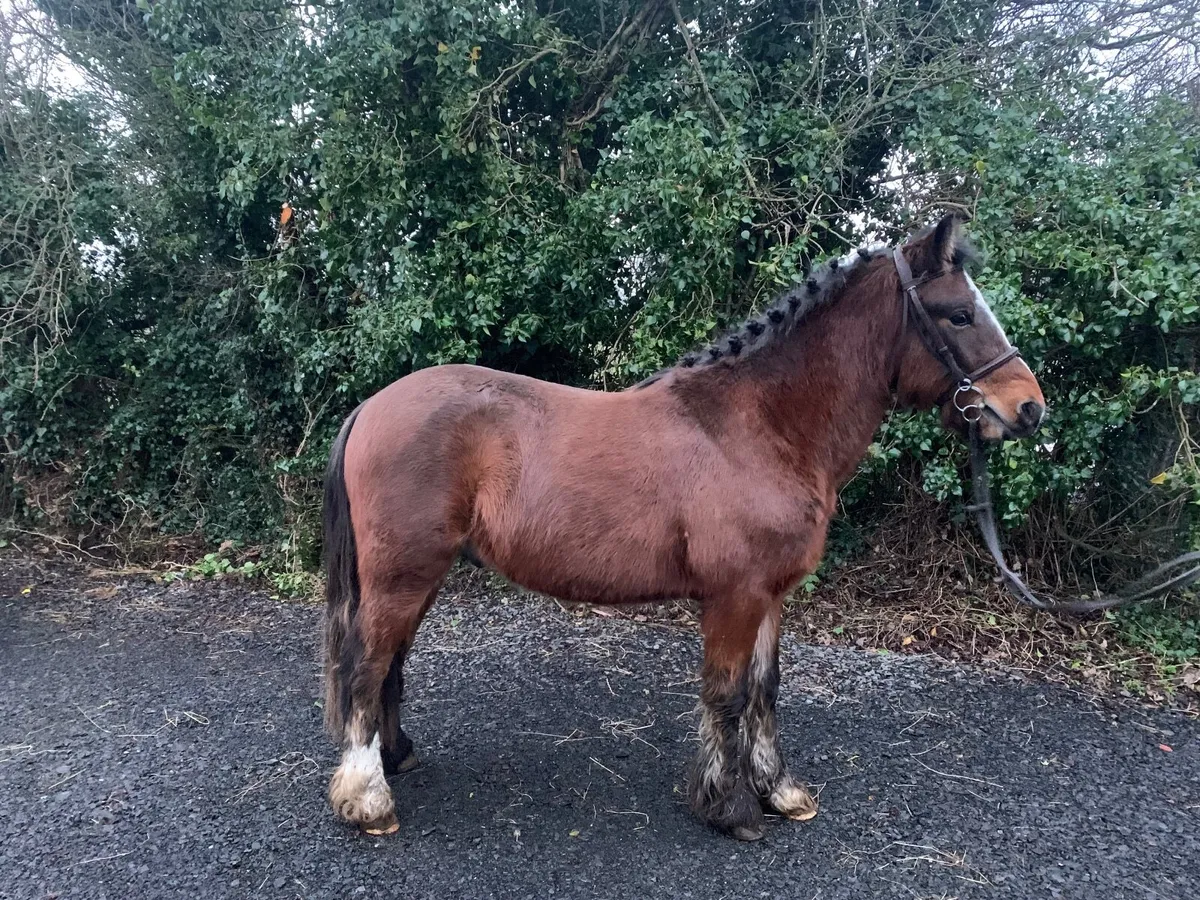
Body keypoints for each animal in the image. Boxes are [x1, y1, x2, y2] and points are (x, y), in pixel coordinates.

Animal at [320, 215, 1045, 841]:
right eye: (959, 313)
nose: (1029, 408)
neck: (765, 426)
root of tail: (371, 407)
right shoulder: (734, 597)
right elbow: (726, 696)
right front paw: (730, 808)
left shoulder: (771, 596)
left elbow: (765, 692)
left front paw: (779, 790)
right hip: (402, 575)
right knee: (366, 665)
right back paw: (368, 799)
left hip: (418, 576)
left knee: (389, 664)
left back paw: (397, 757)